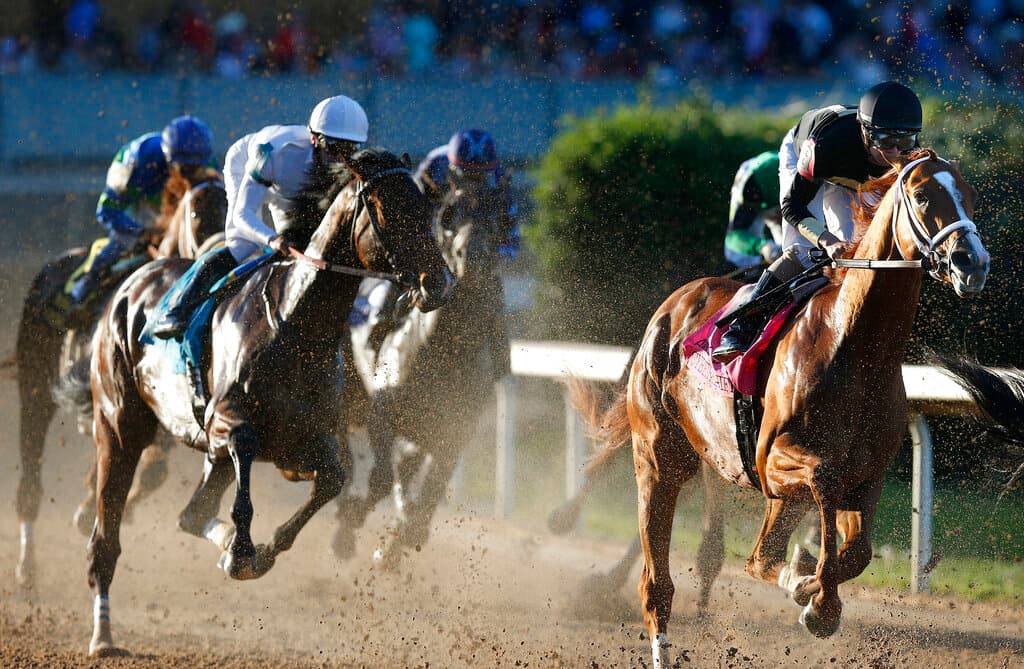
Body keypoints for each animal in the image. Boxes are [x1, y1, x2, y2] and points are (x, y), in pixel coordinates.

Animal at [12, 170, 224, 586]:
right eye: (195, 213)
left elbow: (152, 471)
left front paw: (87, 509)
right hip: (34, 388)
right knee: (30, 480)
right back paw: (26, 570)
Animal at [86, 148, 454, 655]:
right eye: (385, 210)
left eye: (424, 206)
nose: (438, 282)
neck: (296, 326)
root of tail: (132, 282)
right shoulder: (225, 422)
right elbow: (245, 475)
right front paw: (241, 553)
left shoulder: (305, 442)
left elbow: (333, 480)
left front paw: (257, 550)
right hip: (119, 424)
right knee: (106, 538)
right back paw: (103, 636)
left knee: (191, 514)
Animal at [581, 151, 987, 667]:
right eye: (922, 196)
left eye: (969, 194)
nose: (972, 261)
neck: (854, 344)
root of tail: (673, 304)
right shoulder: (772, 461)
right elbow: (823, 483)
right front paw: (821, 602)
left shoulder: (866, 475)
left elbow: (854, 553)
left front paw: (809, 584)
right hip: (660, 458)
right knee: (657, 585)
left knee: (759, 556)